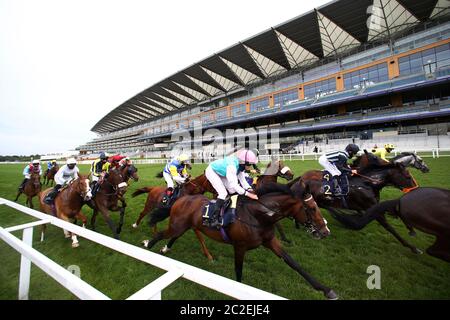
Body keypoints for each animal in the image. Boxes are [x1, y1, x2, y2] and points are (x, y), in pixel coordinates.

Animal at [142, 184, 336, 302]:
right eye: (311, 208)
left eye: (316, 206)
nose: (325, 231)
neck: (258, 216)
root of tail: (182, 198)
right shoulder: (240, 246)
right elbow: (239, 272)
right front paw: (238, 293)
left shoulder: (270, 241)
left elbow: (293, 263)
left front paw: (326, 290)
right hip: (177, 225)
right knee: (162, 233)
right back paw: (148, 245)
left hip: (185, 226)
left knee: (172, 236)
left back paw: (164, 249)